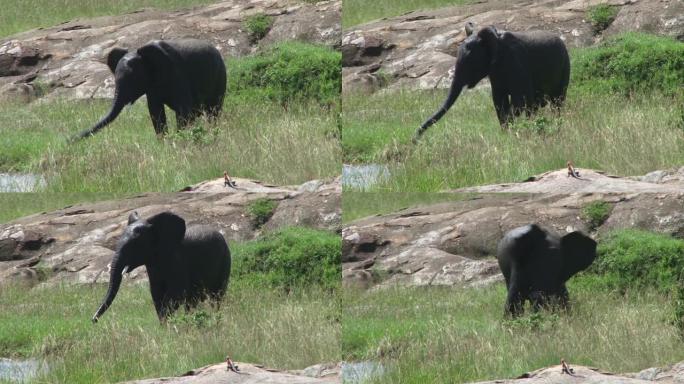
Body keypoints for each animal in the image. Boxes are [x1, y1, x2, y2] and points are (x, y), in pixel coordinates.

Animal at [72, 39, 227, 141]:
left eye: (133, 80)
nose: (70, 140)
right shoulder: (152, 86)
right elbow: (155, 112)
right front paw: (164, 142)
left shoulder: (177, 73)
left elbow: (183, 110)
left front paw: (180, 138)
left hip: (220, 76)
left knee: (213, 110)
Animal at [92, 212, 231, 322]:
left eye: (134, 246)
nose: (93, 320)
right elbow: (156, 295)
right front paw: (165, 326)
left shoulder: (178, 261)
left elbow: (175, 294)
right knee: (192, 302)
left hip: (225, 260)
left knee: (217, 296)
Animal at [414, 24, 568, 142]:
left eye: (470, 62)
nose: (415, 140)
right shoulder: (495, 74)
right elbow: (499, 102)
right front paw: (507, 134)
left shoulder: (518, 64)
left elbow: (519, 101)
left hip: (565, 67)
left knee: (556, 102)